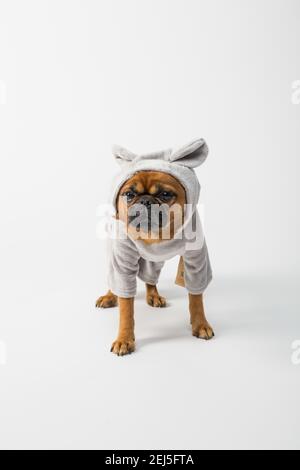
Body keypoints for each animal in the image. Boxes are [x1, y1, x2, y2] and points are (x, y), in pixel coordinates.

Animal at [96, 138, 213, 354]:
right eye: (129, 194)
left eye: (166, 194)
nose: (145, 201)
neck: (156, 235)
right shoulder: (122, 262)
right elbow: (126, 309)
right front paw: (124, 338)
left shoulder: (196, 261)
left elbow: (196, 299)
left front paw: (200, 324)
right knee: (113, 281)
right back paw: (109, 296)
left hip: (154, 261)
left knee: (150, 279)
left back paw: (154, 296)